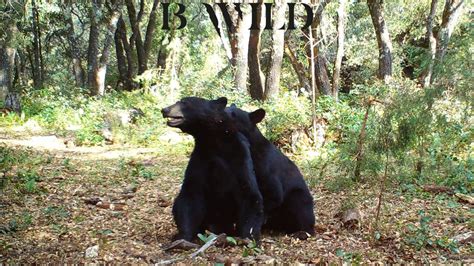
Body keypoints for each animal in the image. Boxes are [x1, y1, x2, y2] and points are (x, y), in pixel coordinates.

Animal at [159, 97, 262, 241]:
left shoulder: (240, 156)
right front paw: (182, 236)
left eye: (184, 102)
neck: (214, 142)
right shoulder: (200, 157)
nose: (164, 109)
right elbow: (191, 194)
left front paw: (249, 236)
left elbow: (249, 192)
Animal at [225, 105, 314, 236]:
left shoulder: (267, 169)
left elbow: (273, 194)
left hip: (299, 197)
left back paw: (302, 232)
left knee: (300, 206)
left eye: (233, 114)